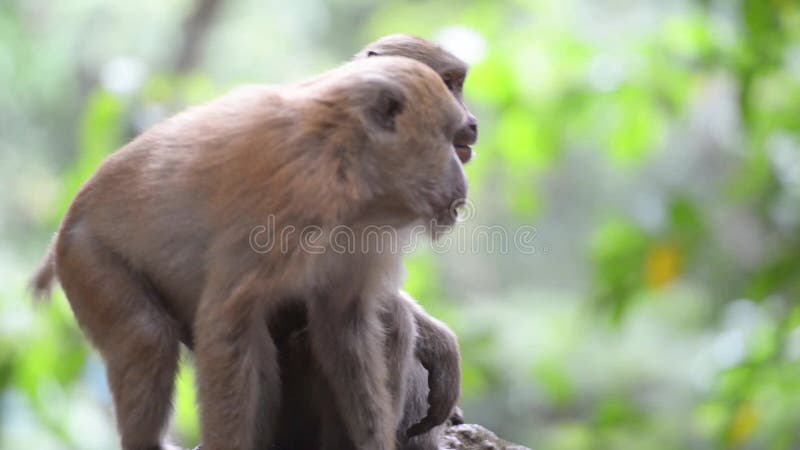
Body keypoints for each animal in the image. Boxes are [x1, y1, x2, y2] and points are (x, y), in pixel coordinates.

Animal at [31, 56, 468, 450]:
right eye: (448, 138)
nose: (462, 178)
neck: (348, 159)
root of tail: (66, 224)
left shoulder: (367, 234)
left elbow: (345, 323)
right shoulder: (292, 197)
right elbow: (227, 319)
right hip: (86, 257)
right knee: (148, 334)